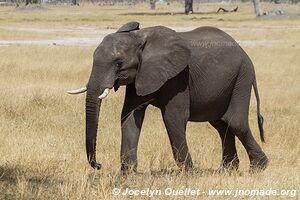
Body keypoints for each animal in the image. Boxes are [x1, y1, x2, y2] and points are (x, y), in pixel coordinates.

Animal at [68, 21, 270, 173]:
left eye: (119, 63)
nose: (99, 165)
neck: (139, 37)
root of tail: (243, 51)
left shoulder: (178, 77)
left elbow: (173, 118)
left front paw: (190, 173)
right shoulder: (140, 75)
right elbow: (130, 115)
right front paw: (127, 174)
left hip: (241, 77)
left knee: (235, 123)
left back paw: (259, 168)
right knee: (221, 124)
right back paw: (227, 170)